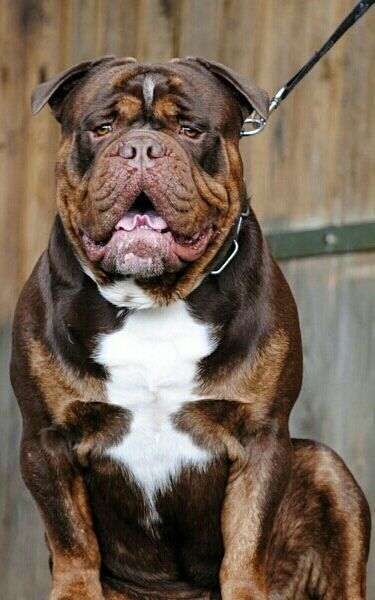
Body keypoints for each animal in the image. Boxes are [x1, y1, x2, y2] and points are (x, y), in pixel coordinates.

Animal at [10, 56, 372, 600]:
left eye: (190, 130)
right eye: (102, 128)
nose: (141, 147)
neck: (153, 297)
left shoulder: (261, 437)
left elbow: (246, 546)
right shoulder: (46, 439)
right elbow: (73, 542)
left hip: (327, 470)